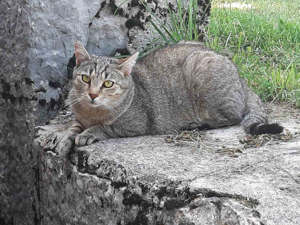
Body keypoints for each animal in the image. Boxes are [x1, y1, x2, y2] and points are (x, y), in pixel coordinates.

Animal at [56, 41, 284, 156]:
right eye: (86, 78)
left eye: (108, 84)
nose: (93, 94)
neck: (91, 112)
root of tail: (242, 81)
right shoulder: (79, 116)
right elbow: (73, 126)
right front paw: (65, 140)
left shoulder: (135, 124)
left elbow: (106, 127)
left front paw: (89, 133)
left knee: (231, 117)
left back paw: (197, 125)